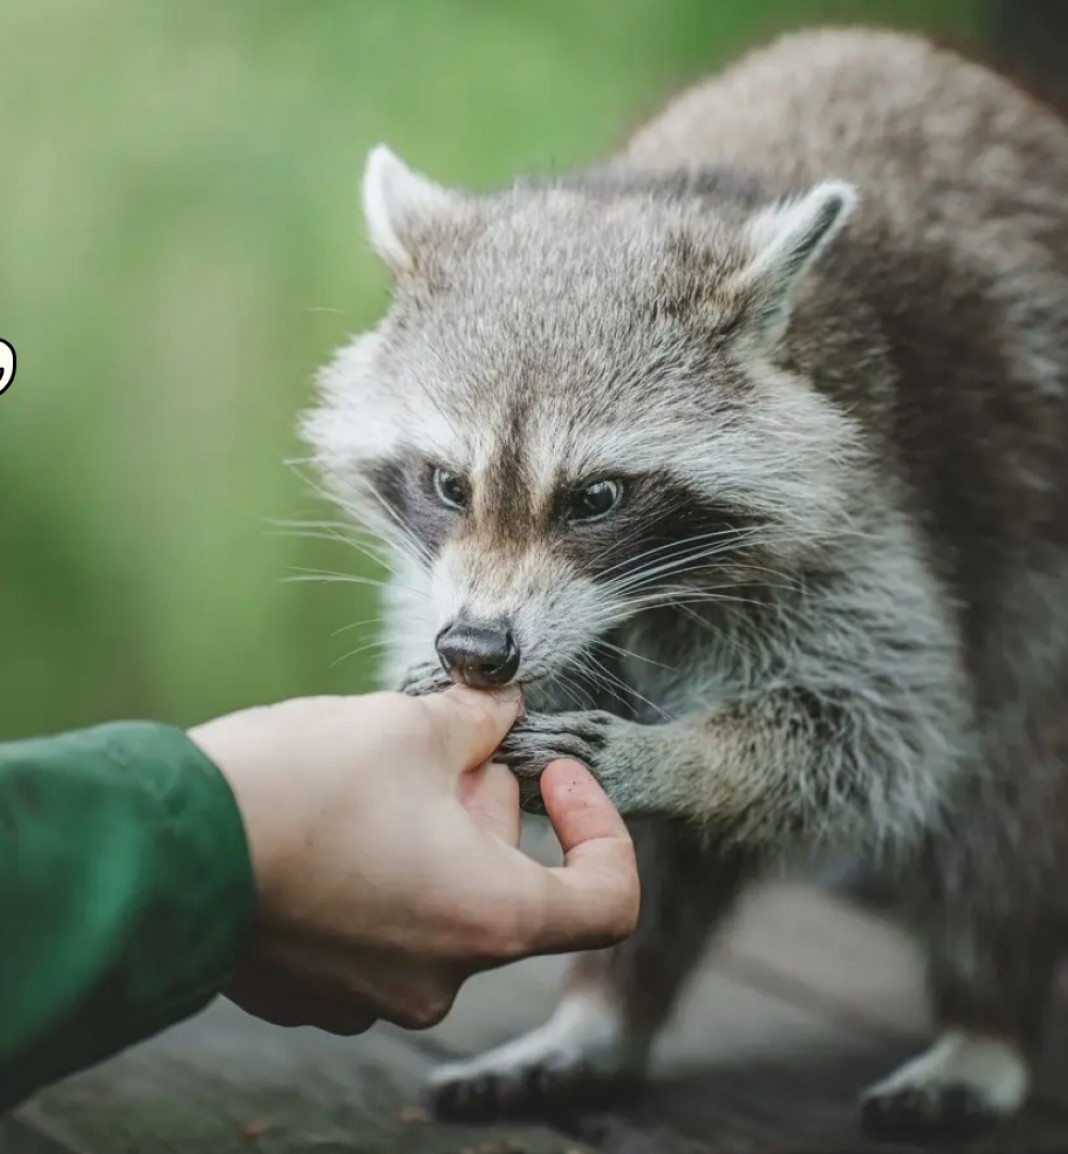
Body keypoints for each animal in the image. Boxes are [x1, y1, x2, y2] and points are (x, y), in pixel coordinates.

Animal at [297, 24, 1066, 1135]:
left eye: (596, 498)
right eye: (448, 482)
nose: (476, 649)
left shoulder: (870, 513)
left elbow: (880, 733)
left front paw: (681, 759)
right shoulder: (445, 575)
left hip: (1032, 585)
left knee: (1005, 804)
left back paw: (986, 1021)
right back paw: (605, 1010)